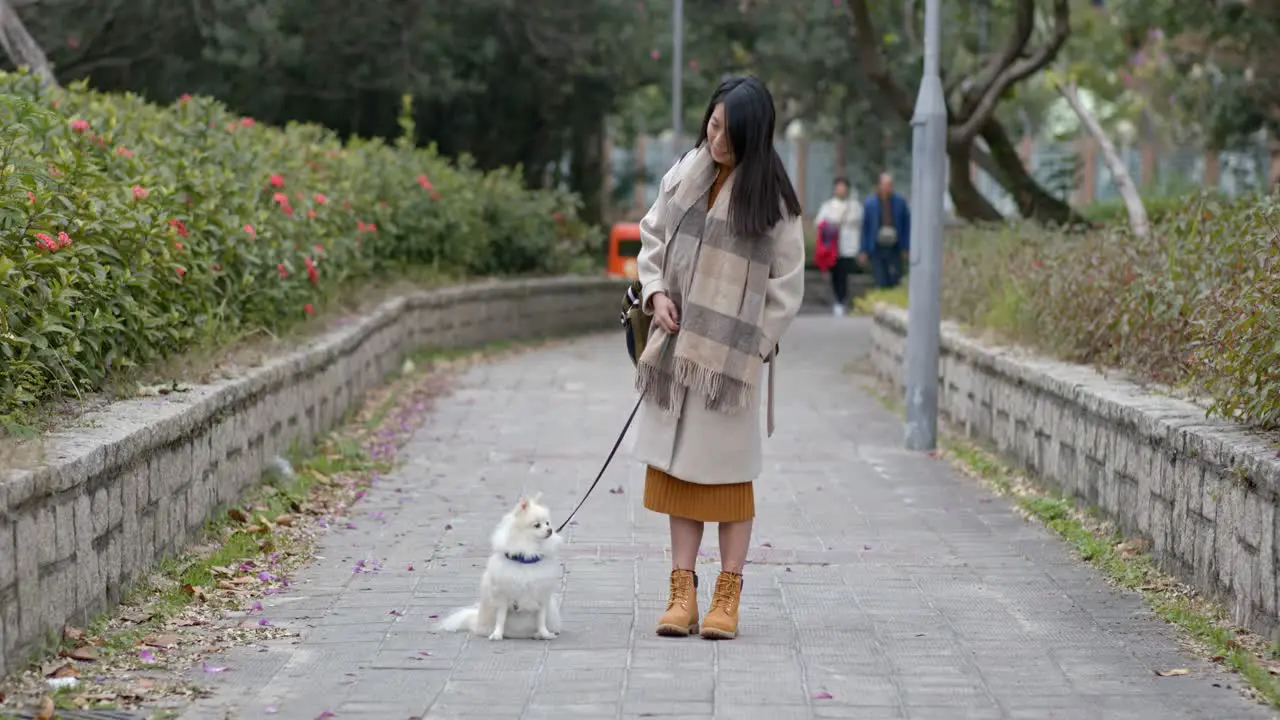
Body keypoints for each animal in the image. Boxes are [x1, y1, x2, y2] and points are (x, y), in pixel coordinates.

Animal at [437, 491, 563, 638]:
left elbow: (541, 618)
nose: (550, 530)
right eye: (537, 525)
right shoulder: (503, 596)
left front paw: (545, 634)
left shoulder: (542, 594)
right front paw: (497, 634)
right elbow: (501, 617)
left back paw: (537, 634)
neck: (526, 558)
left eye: (547, 523)